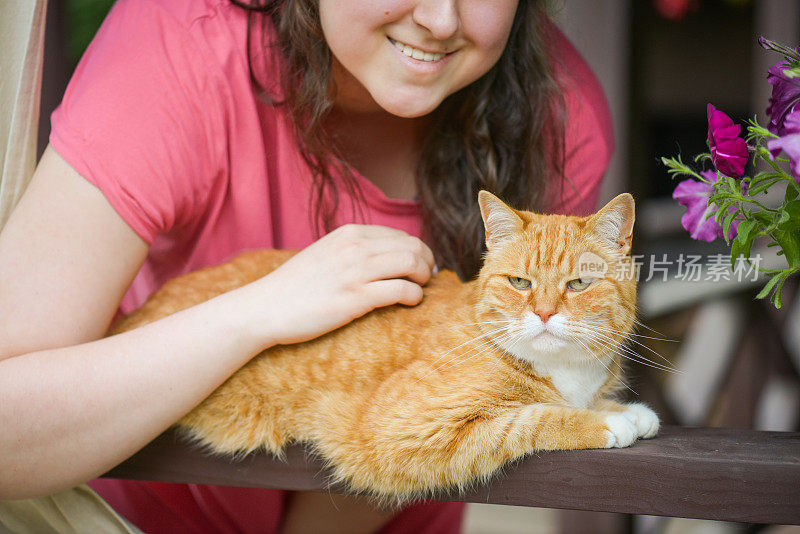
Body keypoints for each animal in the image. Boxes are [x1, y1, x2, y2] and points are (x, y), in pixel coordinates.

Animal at [109, 193, 656, 502]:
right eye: (519, 282)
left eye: (579, 283)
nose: (543, 314)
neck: (564, 372)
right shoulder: (400, 430)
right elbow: (529, 419)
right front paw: (604, 422)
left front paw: (624, 409)